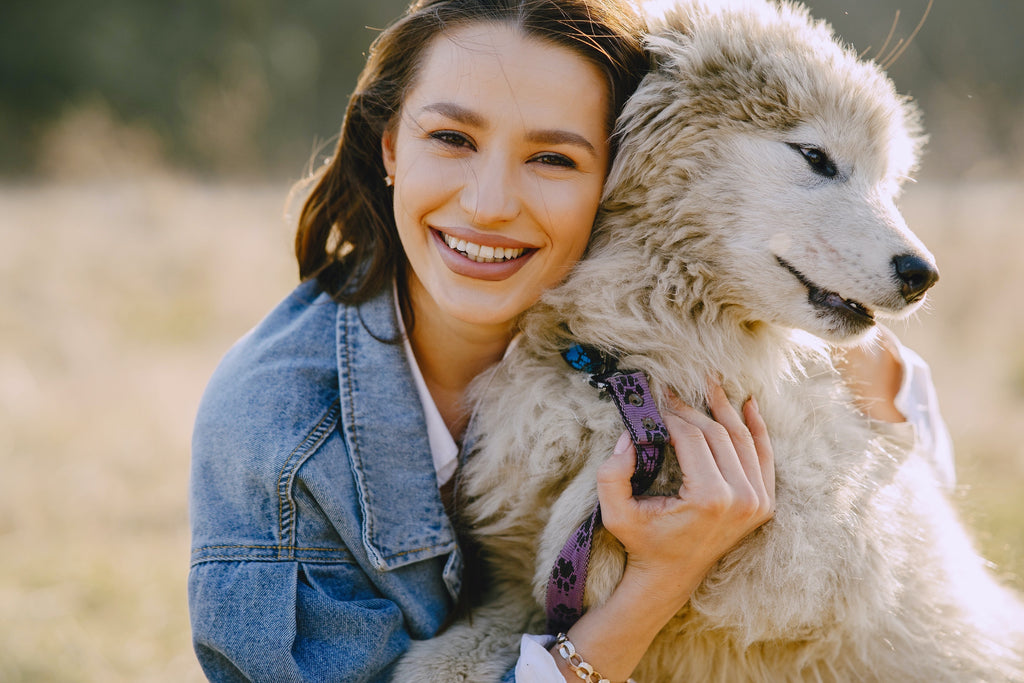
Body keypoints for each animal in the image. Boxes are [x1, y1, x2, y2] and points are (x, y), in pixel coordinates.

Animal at [393, 2, 1024, 679]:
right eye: (815, 156)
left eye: (888, 181)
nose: (922, 274)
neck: (628, 368)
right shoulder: (515, 580)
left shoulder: (815, 554)